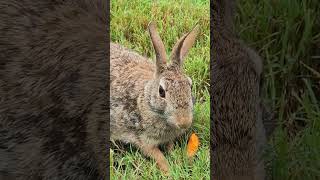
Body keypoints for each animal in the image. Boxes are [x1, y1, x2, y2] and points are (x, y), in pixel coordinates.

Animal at [111, 22, 199, 173]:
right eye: (161, 91)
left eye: (190, 85)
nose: (184, 122)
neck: (147, 102)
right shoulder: (143, 140)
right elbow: (158, 157)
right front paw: (169, 172)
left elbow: (170, 147)